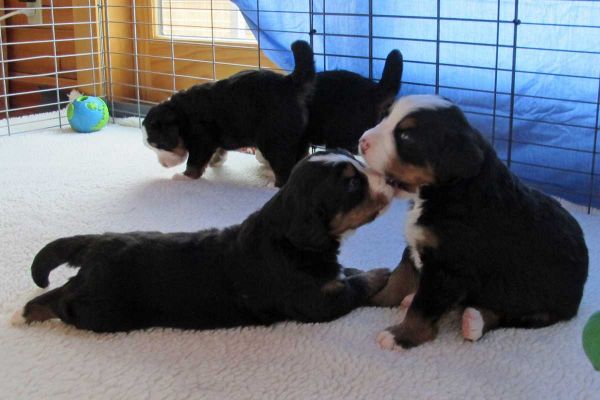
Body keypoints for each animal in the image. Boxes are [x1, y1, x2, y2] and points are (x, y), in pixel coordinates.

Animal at [14, 150, 394, 332]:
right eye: (351, 184)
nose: (390, 179)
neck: (291, 237)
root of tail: (96, 244)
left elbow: (347, 272)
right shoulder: (318, 301)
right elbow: (357, 286)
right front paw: (380, 274)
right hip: (101, 309)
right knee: (63, 302)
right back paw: (28, 313)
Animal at [143, 40, 316, 188]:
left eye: (160, 145)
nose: (163, 165)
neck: (182, 114)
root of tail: (289, 83)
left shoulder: (201, 139)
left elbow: (194, 162)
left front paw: (184, 176)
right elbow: (217, 150)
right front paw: (216, 160)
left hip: (273, 138)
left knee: (283, 164)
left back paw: (274, 185)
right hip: (298, 135)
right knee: (299, 156)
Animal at [358, 94, 588, 350]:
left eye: (406, 136)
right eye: (384, 116)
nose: (362, 141)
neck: (447, 191)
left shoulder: (448, 268)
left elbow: (422, 308)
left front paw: (400, 336)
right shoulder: (415, 243)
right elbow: (398, 280)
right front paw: (371, 298)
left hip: (541, 302)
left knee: (511, 315)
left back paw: (474, 321)